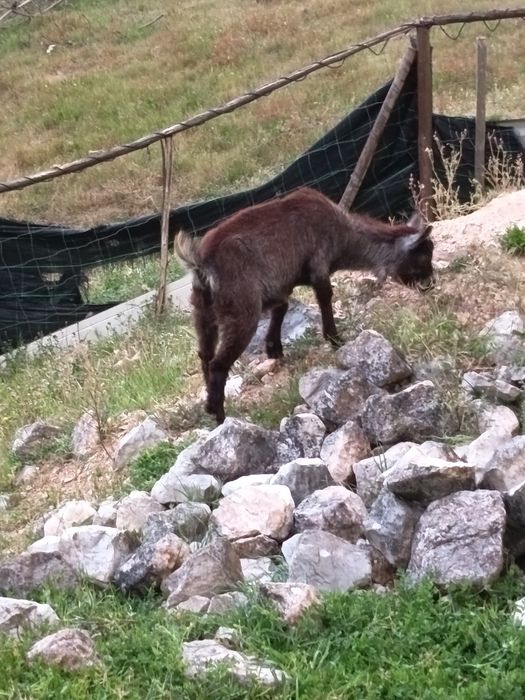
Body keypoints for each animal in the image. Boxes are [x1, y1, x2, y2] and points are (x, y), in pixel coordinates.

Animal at [175, 187, 434, 424]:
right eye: (422, 257)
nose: (430, 285)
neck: (343, 232)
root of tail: (201, 263)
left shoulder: (280, 285)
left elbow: (282, 307)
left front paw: (274, 348)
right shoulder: (318, 265)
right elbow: (325, 297)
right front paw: (335, 339)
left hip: (203, 312)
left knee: (205, 355)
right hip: (241, 311)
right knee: (219, 364)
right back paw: (219, 415)